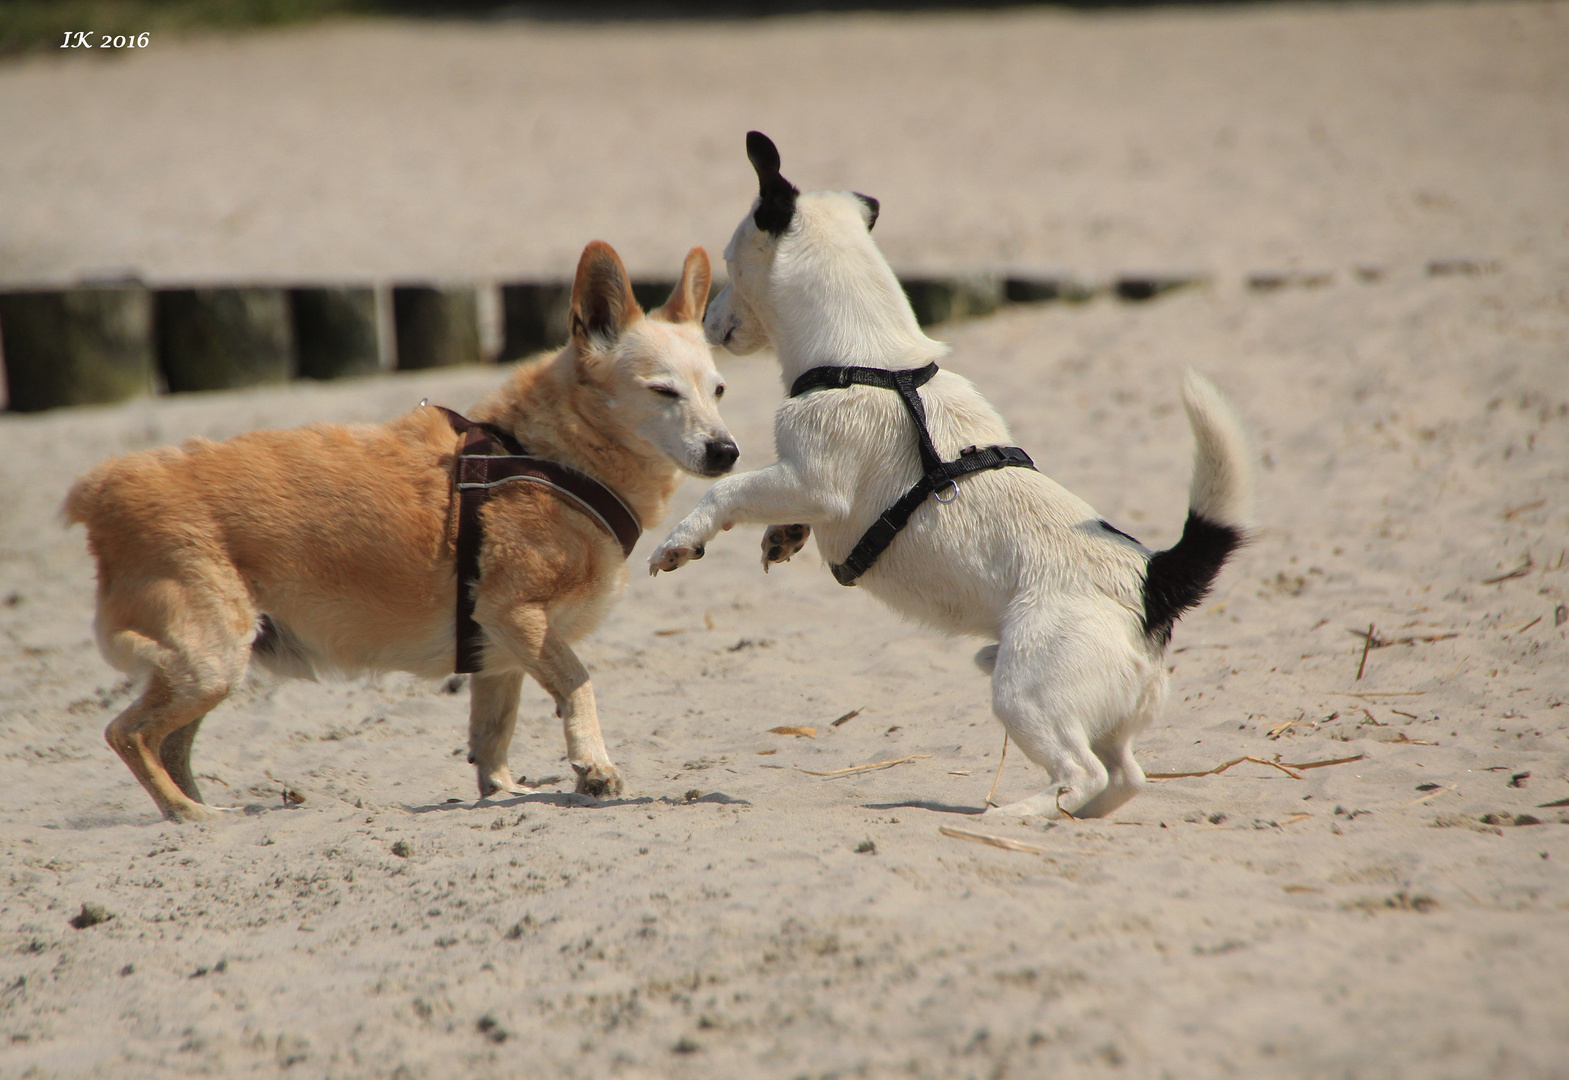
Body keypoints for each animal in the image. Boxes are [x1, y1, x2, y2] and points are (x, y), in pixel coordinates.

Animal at [64, 243, 737, 816]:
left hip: (217, 663)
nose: (727, 451)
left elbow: (494, 731)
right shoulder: (516, 616)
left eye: (719, 390)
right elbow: (579, 684)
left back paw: (202, 807)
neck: (554, 452)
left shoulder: (499, 650)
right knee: (128, 733)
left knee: (171, 743)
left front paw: (502, 791)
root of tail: (103, 491)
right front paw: (593, 766)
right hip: (209, 661)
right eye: (663, 391)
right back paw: (188, 815)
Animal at [646, 131, 1248, 816]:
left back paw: (1019, 814)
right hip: (1091, 704)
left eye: (728, 259)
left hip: (1024, 690)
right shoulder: (800, 488)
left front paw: (680, 542)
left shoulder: (810, 478)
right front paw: (782, 537)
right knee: (1124, 776)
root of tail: (1153, 580)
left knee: (1083, 772)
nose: (705, 323)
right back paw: (1071, 818)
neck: (871, 356)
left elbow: (727, 491)